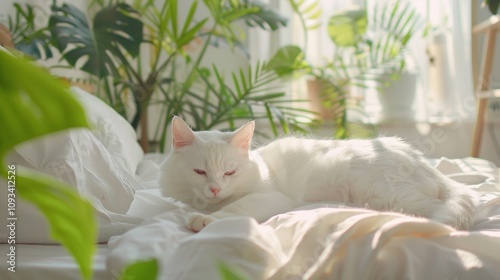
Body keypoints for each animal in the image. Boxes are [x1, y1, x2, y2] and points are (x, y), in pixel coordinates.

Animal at [159, 116, 476, 232]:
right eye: (200, 171)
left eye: (229, 172)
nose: (214, 189)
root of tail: (422, 160)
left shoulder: (269, 197)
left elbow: (233, 209)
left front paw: (205, 220)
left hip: (387, 192)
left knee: (437, 207)